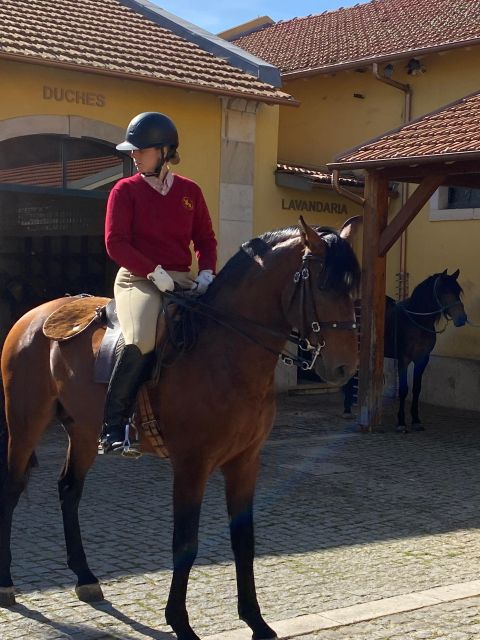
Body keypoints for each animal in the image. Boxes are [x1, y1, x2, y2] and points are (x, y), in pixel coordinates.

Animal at [0, 219, 360, 640]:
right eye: (324, 286)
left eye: (352, 287)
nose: (345, 367)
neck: (225, 353)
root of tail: (35, 315)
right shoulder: (192, 465)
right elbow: (185, 542)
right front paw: (180, 623)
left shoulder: (245, 462)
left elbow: (244, 540)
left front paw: (256, 620)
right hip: (25, 422)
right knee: (11, 489)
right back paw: (7, 584)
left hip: (84, 431)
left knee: (70, 490)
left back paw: (85, 577)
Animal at [344, 268, 466, 432]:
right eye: (445, 291)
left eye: (458, 291)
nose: (462, 319)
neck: (417, 322)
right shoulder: (404, 359)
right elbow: (403, 389)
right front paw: (401, 422)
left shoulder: (422, 360)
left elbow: (416, 389)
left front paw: (416, 420)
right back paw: (347, 410)